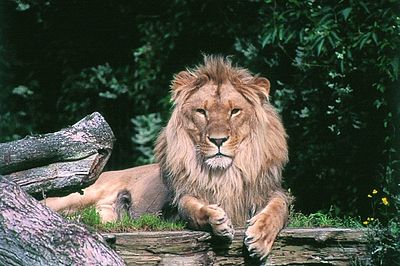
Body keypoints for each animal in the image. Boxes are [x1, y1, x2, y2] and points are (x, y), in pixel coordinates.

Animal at [44, 55, 290, 260]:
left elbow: (279, 208)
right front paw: (216, 219)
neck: (223, 173)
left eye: (235, 111)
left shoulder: (269, 189)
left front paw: (259, 238)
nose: (218, 140)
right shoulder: (178, 202)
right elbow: (191, 208)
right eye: (202, 112)